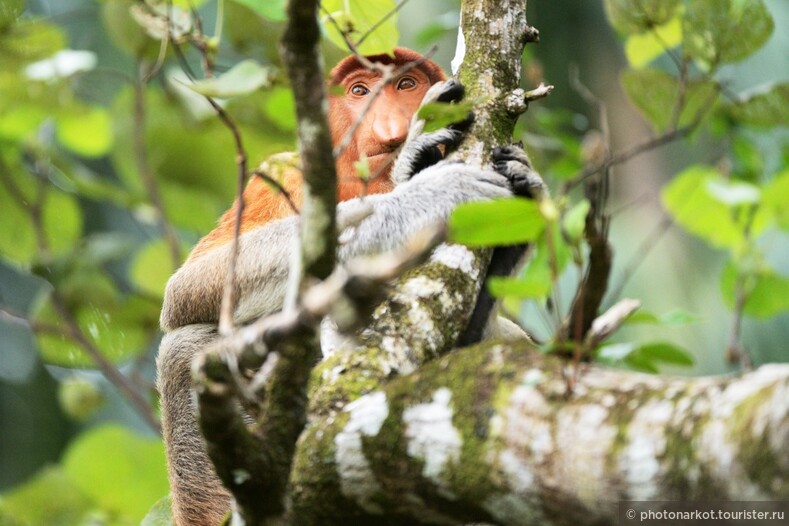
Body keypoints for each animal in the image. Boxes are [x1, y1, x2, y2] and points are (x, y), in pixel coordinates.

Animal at [157, 47, 544, 524]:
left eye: (406, 84)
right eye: (360, 90)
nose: (390, 129)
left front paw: (522, 191)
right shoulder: (284, 172)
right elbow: (189, 287)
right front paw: (420, 182)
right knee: (184, 350)